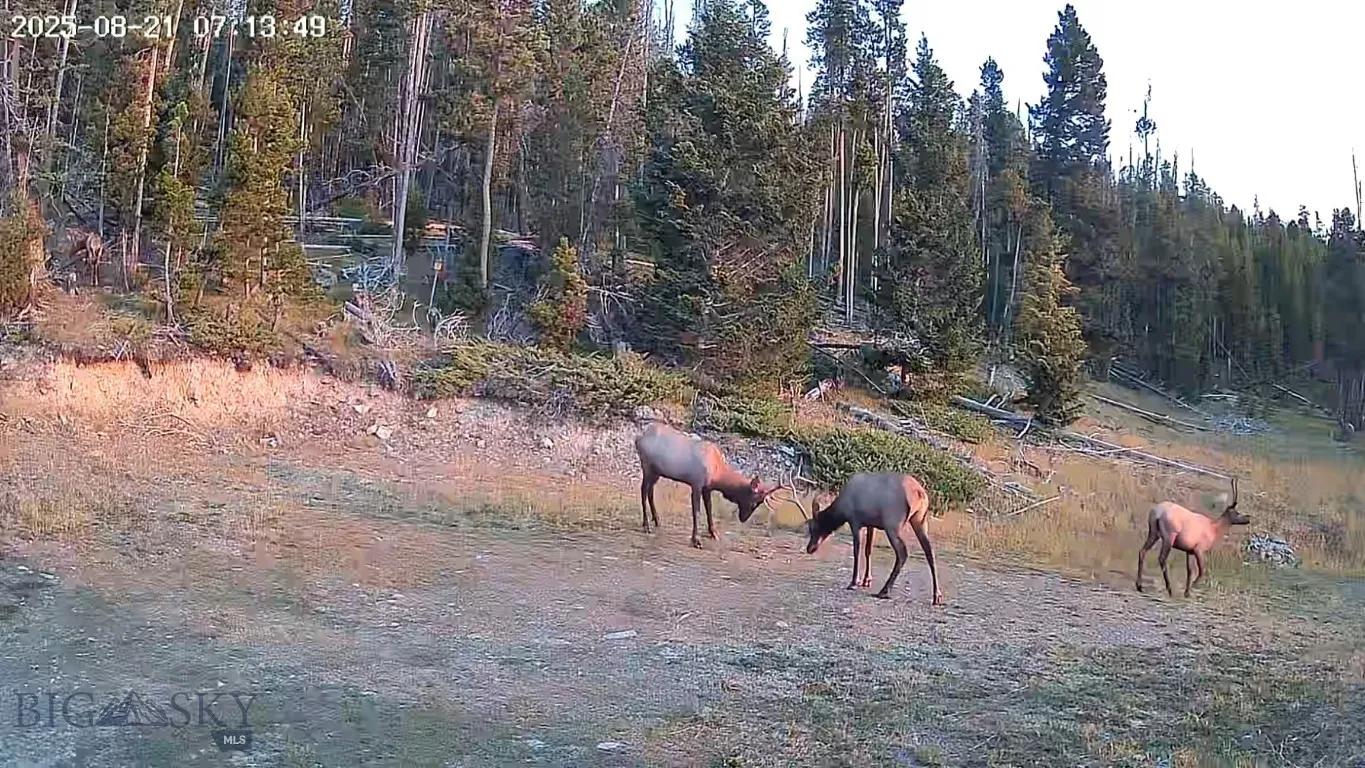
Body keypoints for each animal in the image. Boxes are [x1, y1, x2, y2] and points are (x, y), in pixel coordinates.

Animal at [634, 422, 802, 549]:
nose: (743, 518)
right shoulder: (696, 484)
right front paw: (696, 540)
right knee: (643, 490)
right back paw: (646, 525)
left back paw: (657, 520)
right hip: (647, 466)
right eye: (754, 501)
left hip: (657, 471)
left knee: (650, 491)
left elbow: (709, 510)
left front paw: (714, 533)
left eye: (760, 503)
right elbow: (696, 512)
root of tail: (639, 438)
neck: (717, 473)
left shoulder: (707, 488)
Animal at [803, 472, 944, 605]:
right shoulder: (871, 524)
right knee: (929, 551)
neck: (842, 510)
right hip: (920, 520)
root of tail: (920, 494)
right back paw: (936, 595)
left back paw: (884, 591)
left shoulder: (855, 521)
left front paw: (854, 582)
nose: (809, 548)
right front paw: (867, 580)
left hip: (892, 525)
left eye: (814, 527)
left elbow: (857, 550)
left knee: (902, 552)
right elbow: (868, 550)